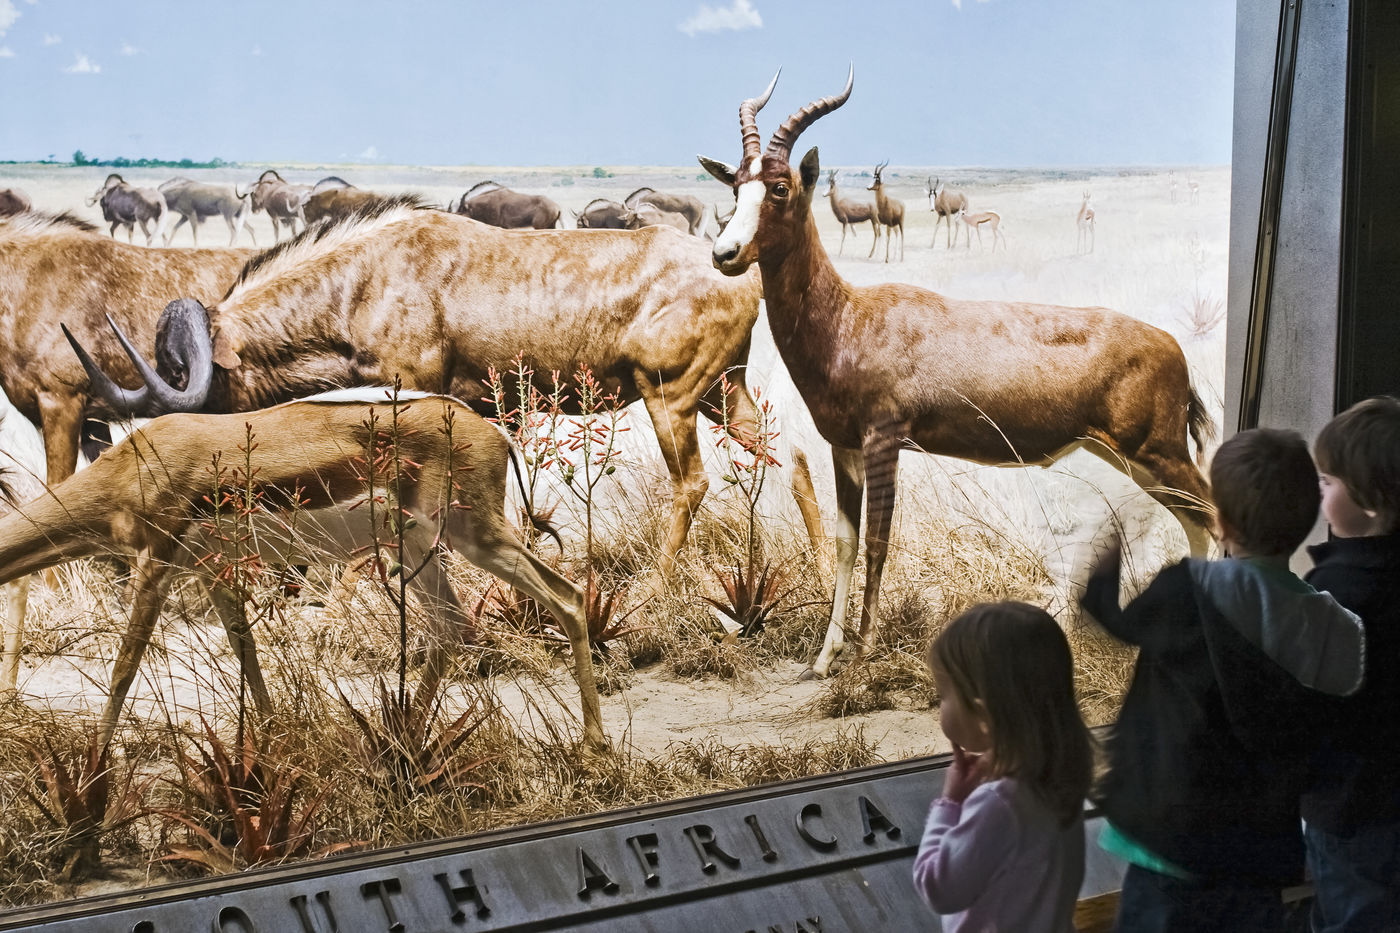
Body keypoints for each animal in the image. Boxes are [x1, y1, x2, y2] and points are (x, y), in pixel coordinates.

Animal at [0, 389, 605, 753]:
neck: (130, 466)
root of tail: (495, 432)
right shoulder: (213, 571)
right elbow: (246, 652)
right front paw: (273, 745)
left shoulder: (158, 564)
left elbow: (124, 667)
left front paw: (93, 785)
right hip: (417, 549)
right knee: (453, 627)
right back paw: (401, 745)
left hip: (473, 536)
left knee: (569, 597)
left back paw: (594, 744)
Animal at [700, 68, 1214, 678]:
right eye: (737, 186)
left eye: (780, 187)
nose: (725, 253)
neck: (853, 316)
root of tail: (1173, 348)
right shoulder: (843, 447)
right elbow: (846, 541)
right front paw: (823, 659)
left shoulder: (884, 442)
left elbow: (878, 541)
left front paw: (865, 651)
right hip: (1130, 457)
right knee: (1194, 521)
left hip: (1158, 453)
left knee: (1209, 513)